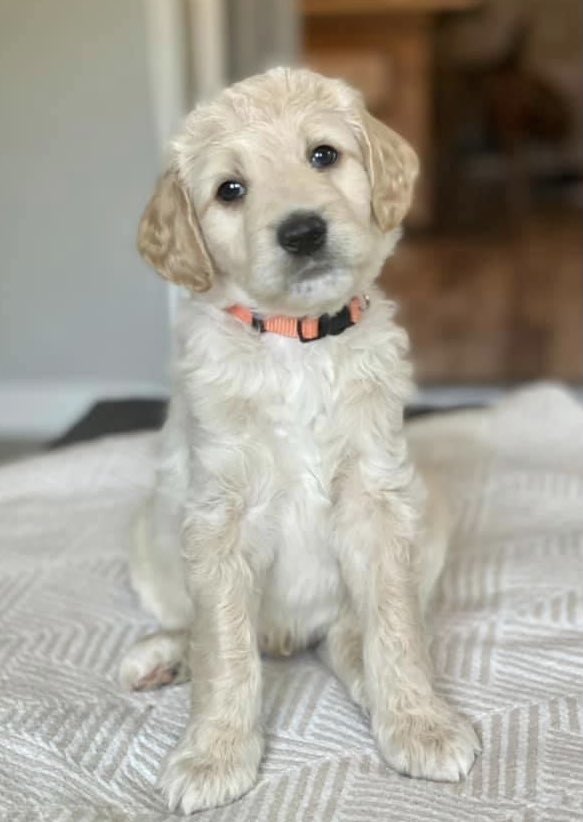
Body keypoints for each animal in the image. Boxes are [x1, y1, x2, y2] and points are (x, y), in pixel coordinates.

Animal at [121, 67, 482, 816]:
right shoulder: (219, 516)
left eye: (323, 155)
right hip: (149, 535)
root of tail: (290, 633)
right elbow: (224, 649)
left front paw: (418, 720)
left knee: (348, 631)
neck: (298, 342)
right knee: (210, 632)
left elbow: (395, 626)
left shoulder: (377, 498)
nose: (302, 230)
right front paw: (215, 753)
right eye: (230, 189)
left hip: (427, 510)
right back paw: (164, 656)